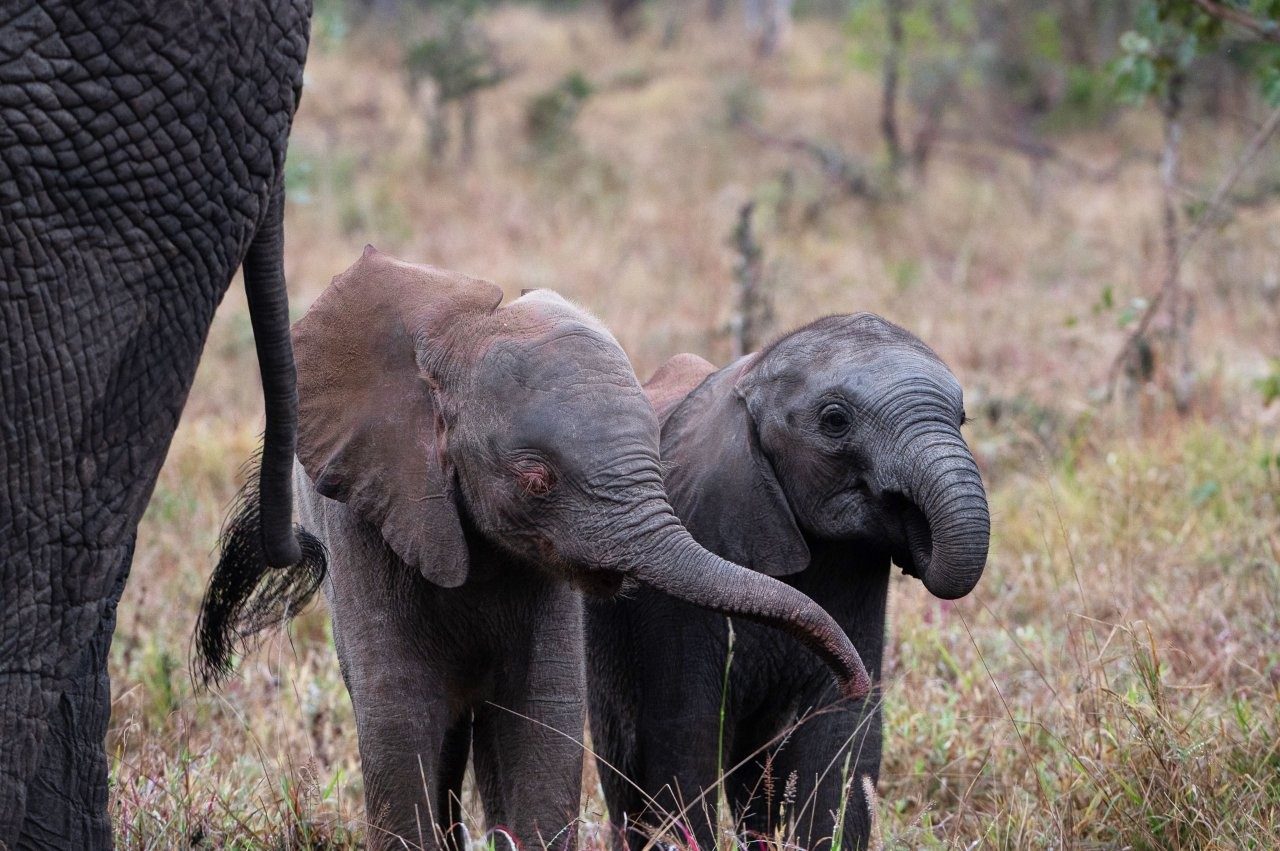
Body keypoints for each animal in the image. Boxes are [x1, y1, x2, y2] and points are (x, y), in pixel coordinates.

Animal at [195, 248, 872, 851]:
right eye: (536, 480)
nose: (856, 686)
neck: (457, 338)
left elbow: (542, 715)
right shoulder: (368, 515)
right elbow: (397, 711)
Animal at [586, 314, 991, 851]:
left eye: (962, 419)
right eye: (835, 420)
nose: (913, 523)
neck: (750, 376)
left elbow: (841, 734)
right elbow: (684, 734)